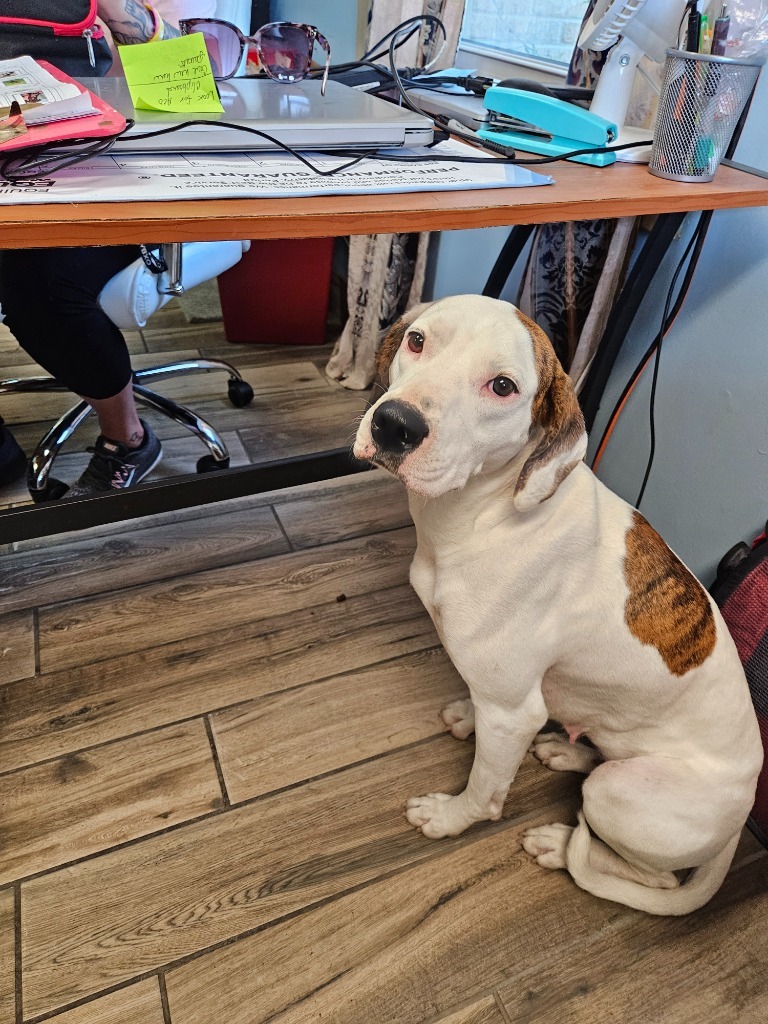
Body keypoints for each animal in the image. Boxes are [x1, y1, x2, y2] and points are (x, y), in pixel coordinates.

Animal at [354, 292, 765, 917]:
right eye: (418, 340)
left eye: (503, 386)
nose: (395, 423)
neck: (483, 513)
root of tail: (740, 823)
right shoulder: (507, 698)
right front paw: (467, 716)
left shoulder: (513, 711)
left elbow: (484, 789)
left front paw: (449, 818)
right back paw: (565, 751)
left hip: (619, 797)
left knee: (654, 876)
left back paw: (560, 844)